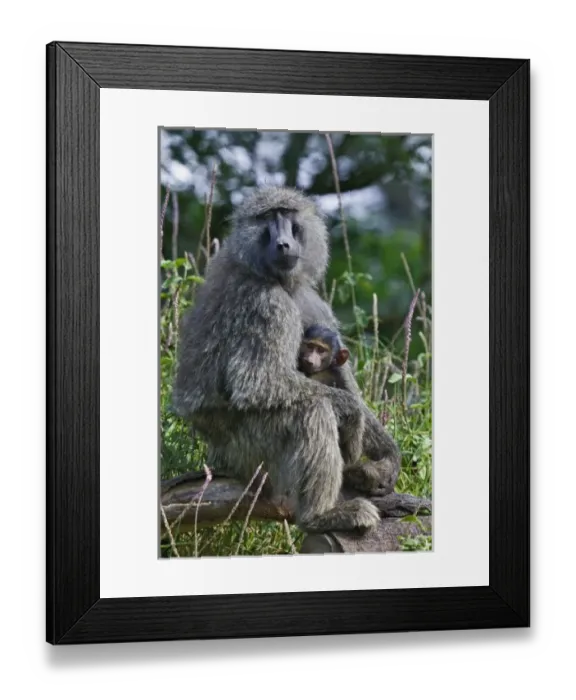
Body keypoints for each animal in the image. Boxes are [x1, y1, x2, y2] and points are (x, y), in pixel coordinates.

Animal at [171, 185, 382, 535]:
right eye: (267, 219)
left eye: (288, 217)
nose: (283, 243)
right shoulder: (266, 305)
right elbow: (257, 382)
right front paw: (352, 413)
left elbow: (339, 368)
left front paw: (387, 460)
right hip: (247, 452)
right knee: (312, 409)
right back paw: (320, 516)